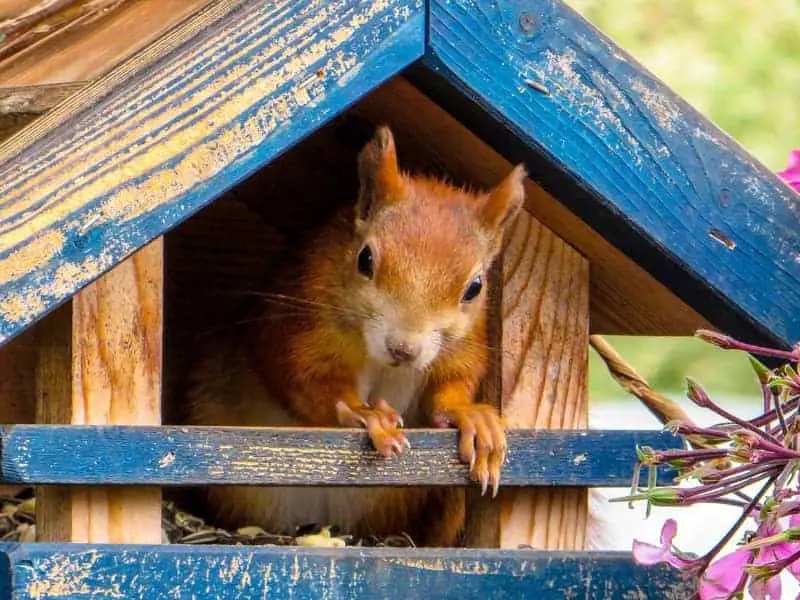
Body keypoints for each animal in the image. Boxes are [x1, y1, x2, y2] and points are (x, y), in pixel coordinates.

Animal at [184, 127, 528, 548]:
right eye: (365, 259)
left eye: (475, 288)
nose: (403, 348)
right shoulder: (301, 323)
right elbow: (306, 381)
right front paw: (364, 413)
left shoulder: (463, 346)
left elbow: (451, 387)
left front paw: (472, 418)